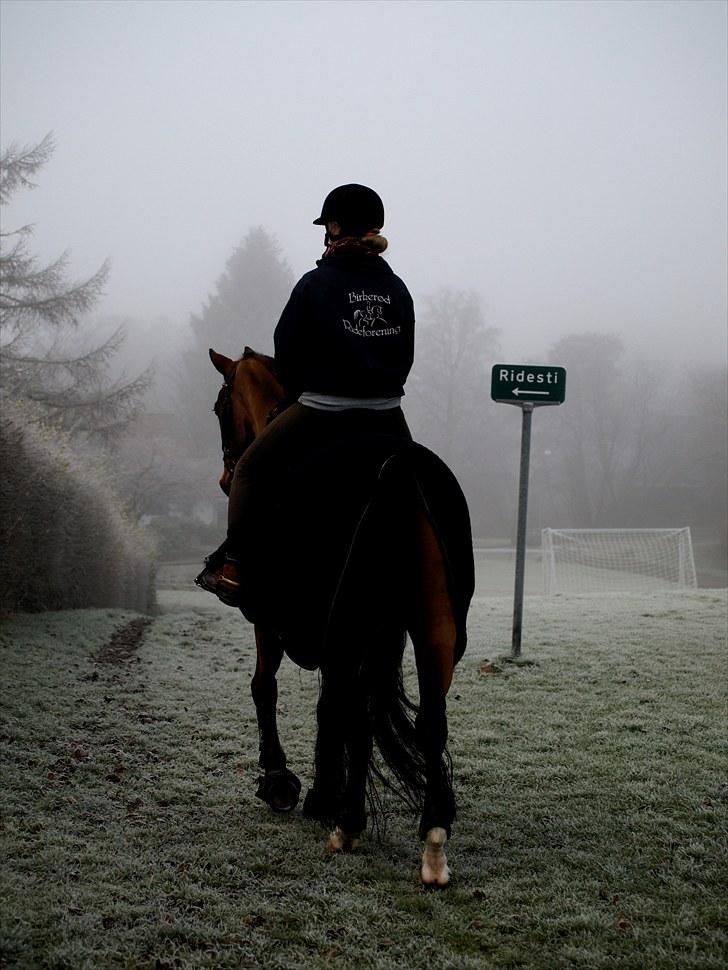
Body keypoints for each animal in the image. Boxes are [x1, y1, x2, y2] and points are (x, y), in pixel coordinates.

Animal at [206, 346, 472, 884]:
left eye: (220, 408)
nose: (226, 476)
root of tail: (399, 467)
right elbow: (337, 707)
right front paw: (322, 792)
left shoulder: (270, 617)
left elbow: (267, 687)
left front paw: (283, 781)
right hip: (431, 626)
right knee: (426, 719)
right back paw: (431, 840)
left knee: (356, 709)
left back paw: (348, 822)